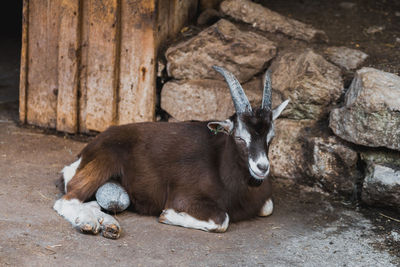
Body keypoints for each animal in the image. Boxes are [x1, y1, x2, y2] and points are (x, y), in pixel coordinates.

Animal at [54, 66, 290, 239]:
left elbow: (267, 207)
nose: (262, 167)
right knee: (67, 200)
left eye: (271, 137)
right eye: (240, 137)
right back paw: (89, 224)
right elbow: (222, 220)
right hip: (104, 161)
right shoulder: (186, 197)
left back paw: (107, 225)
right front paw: (168, 215)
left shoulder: (262, 200)